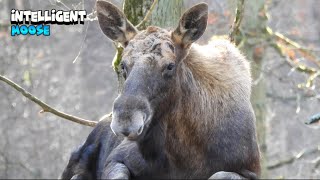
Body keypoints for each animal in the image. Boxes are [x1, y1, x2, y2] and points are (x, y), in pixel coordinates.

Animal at [60, 1, 260, 179]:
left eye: (170, 66)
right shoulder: (117, 158)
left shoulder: (249, 170)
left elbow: (220, 174)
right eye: (122, 65)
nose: (125, 120)